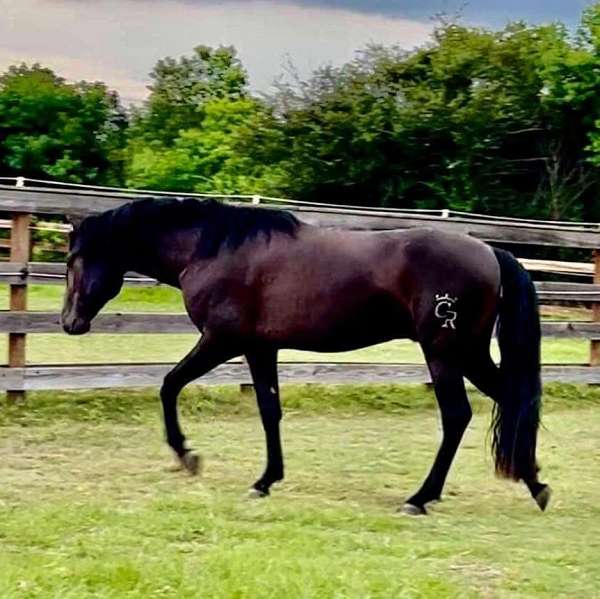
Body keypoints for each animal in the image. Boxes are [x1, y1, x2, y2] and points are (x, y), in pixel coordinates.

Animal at [63, 198, 552, 516]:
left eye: (74, 261)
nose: (69, 322)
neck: (214, 248)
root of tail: (492, 252)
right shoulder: (260, 348)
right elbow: (269, 411)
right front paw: (265, 481)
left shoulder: (221, 341)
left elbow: (169, 385)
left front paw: (187, 456)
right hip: (469, 353)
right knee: (513, 400)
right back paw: (535, 484)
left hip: (445, 354)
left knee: (457, 416)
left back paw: (419, 499)